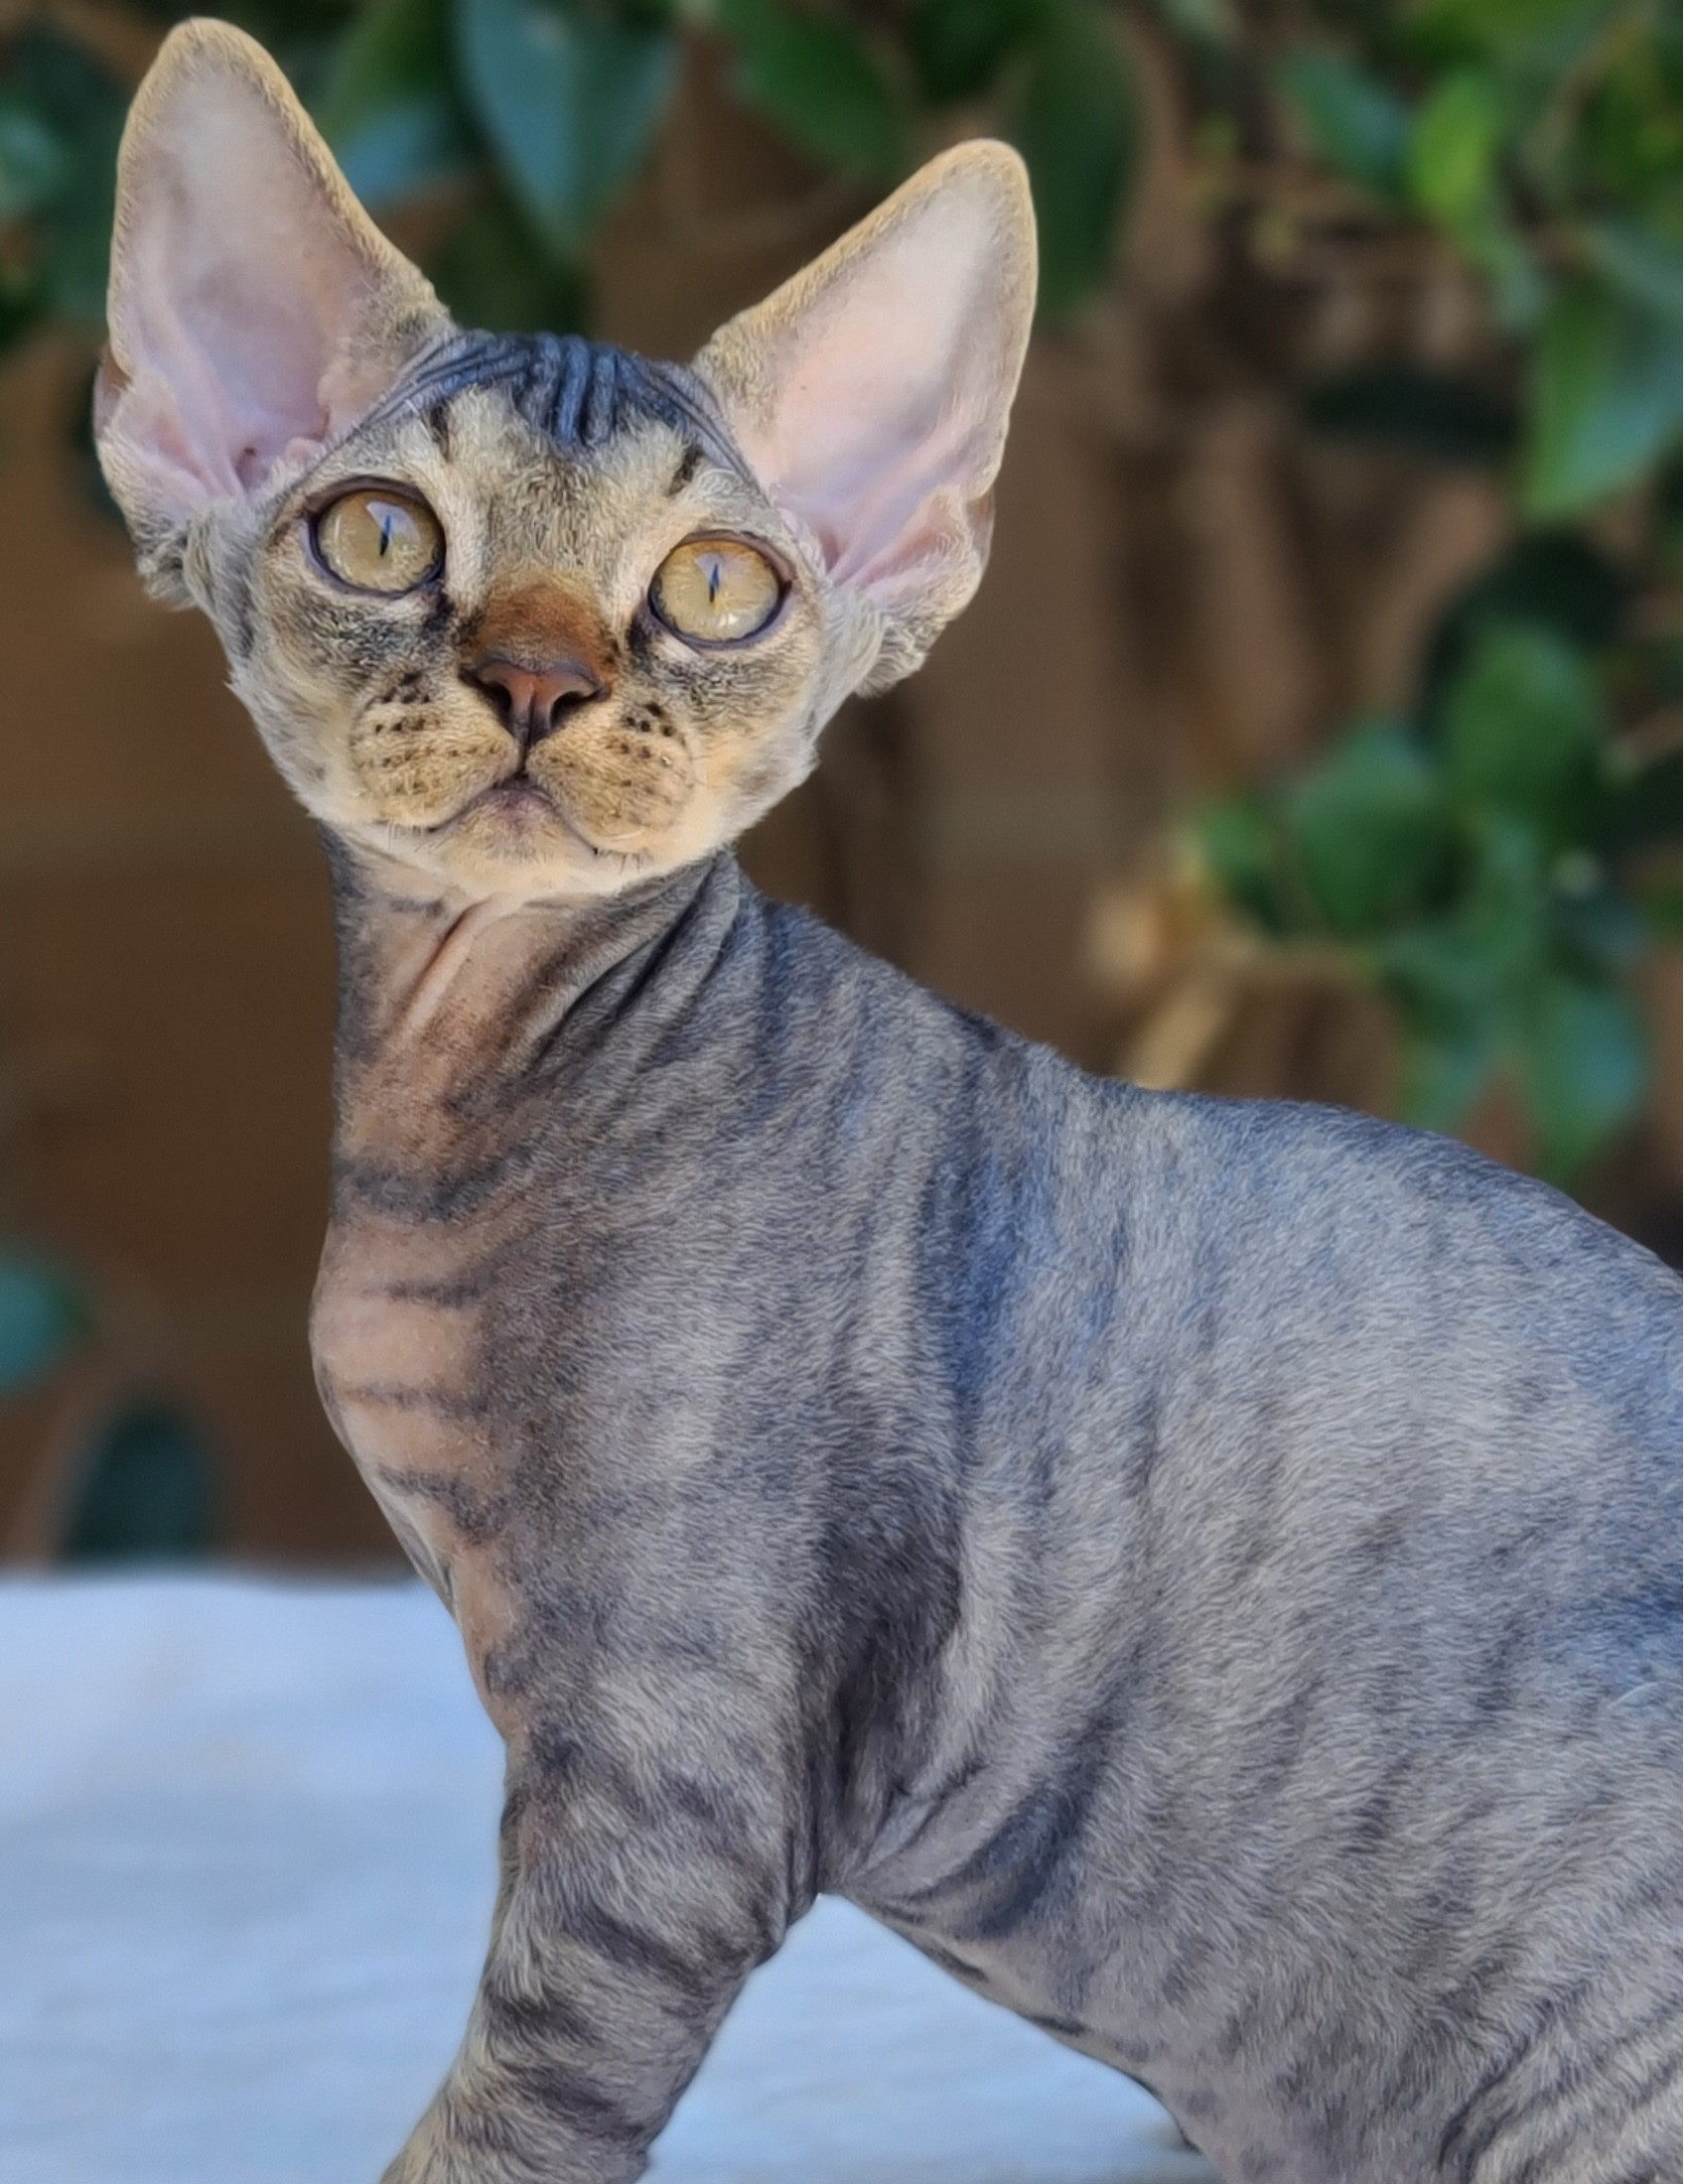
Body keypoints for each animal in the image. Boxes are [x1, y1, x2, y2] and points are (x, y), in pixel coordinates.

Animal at [98, 21, 1677, 2184]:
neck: (467, 1080)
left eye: (715, 587)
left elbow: (510, 2122)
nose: (537, 676)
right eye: (382, 537)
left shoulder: (674, 1783)